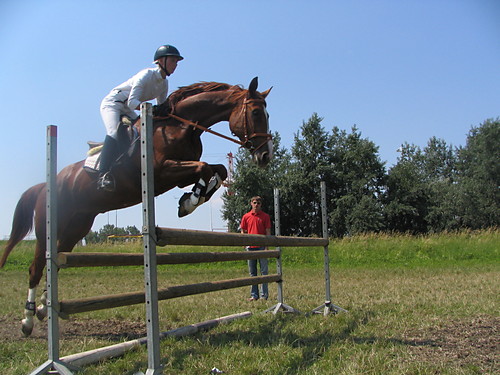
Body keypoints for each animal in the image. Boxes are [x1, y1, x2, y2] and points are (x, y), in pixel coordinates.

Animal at [0, 76, 274, 338]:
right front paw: (191, 201)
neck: (182, 126)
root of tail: (45, 185)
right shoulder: (164, 170)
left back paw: (44, 307)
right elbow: (205, 167)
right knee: (36, 267)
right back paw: (27, 321)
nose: (265, 156)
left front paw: (190, 199)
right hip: (48, 228)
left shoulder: (178, 173)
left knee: (55, 261)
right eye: (256, 113)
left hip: (76, 228)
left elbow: (218, 170)